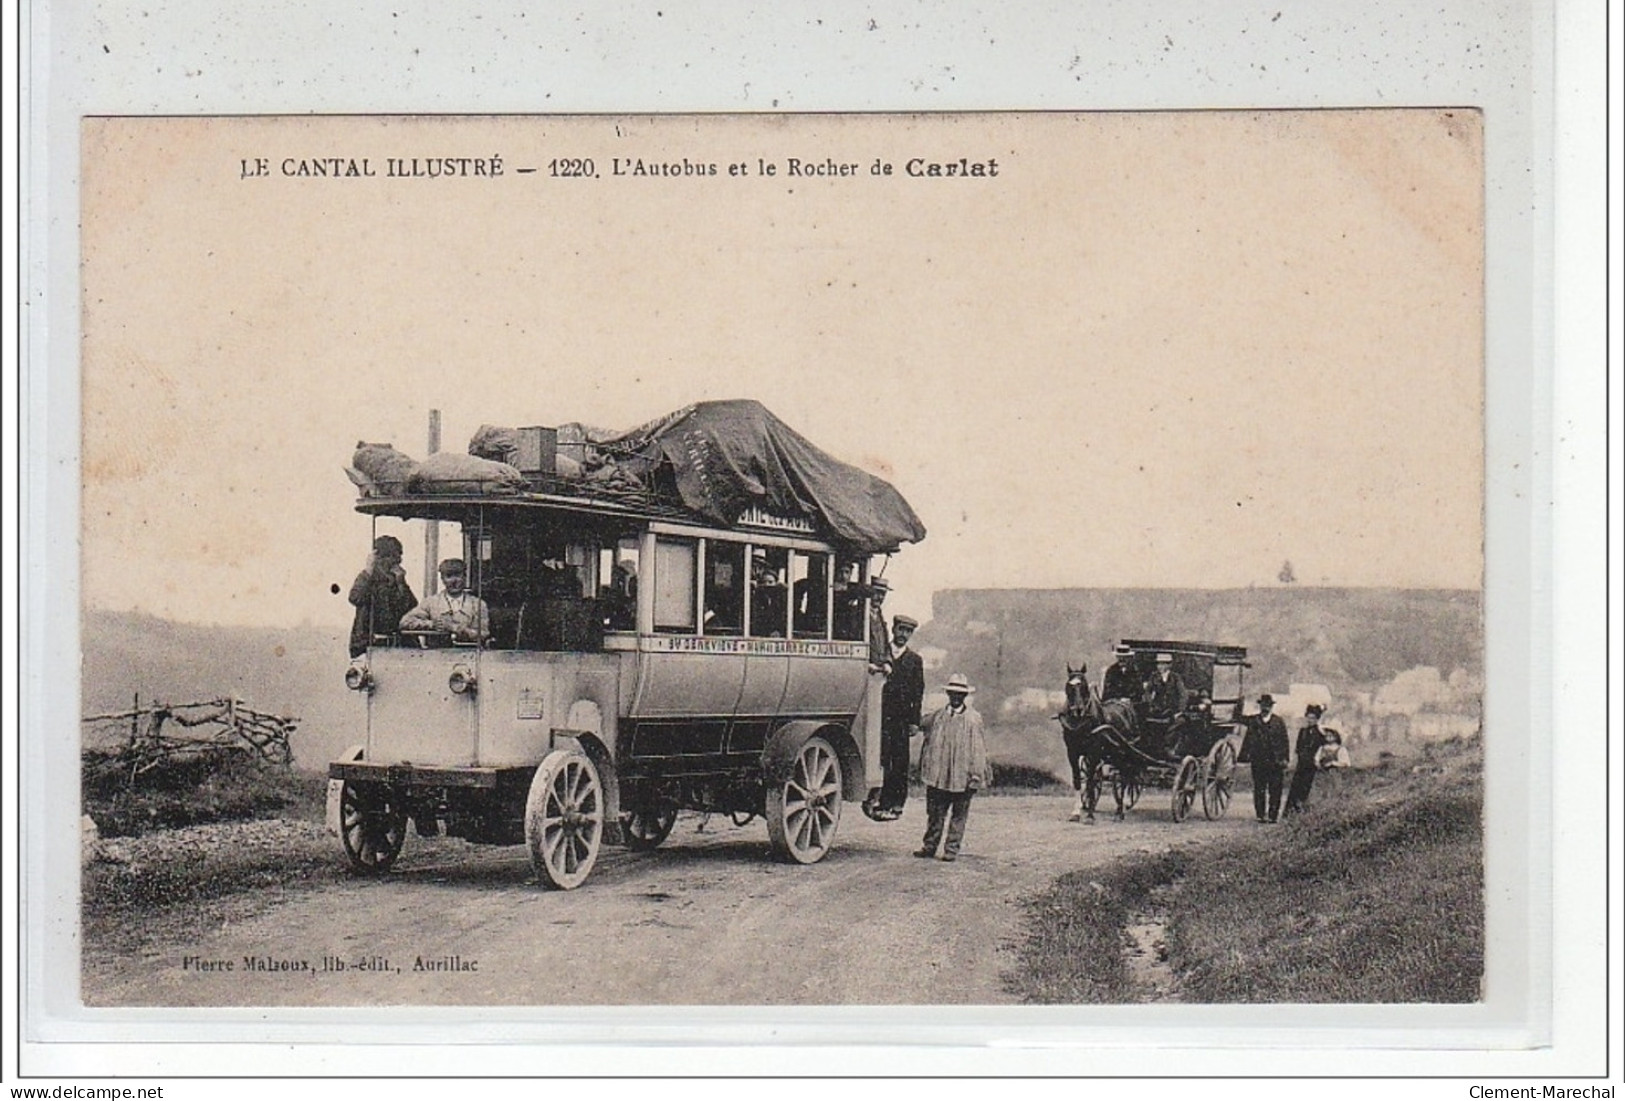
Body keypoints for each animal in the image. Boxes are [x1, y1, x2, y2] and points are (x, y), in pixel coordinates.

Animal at [1053, 665, 1144, 828]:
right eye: (1068, 685)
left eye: (1083, 685)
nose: (1077, 710)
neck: (1081, 723)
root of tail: (1126, 706)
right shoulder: (1072, 753)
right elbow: (1078, 781)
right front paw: (1076, 813)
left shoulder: (1093, 753)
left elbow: (1089, 782)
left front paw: (1090, 816)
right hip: (1115, 754)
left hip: (1123, 753)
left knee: (1125, 779)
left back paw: (1120, 812)